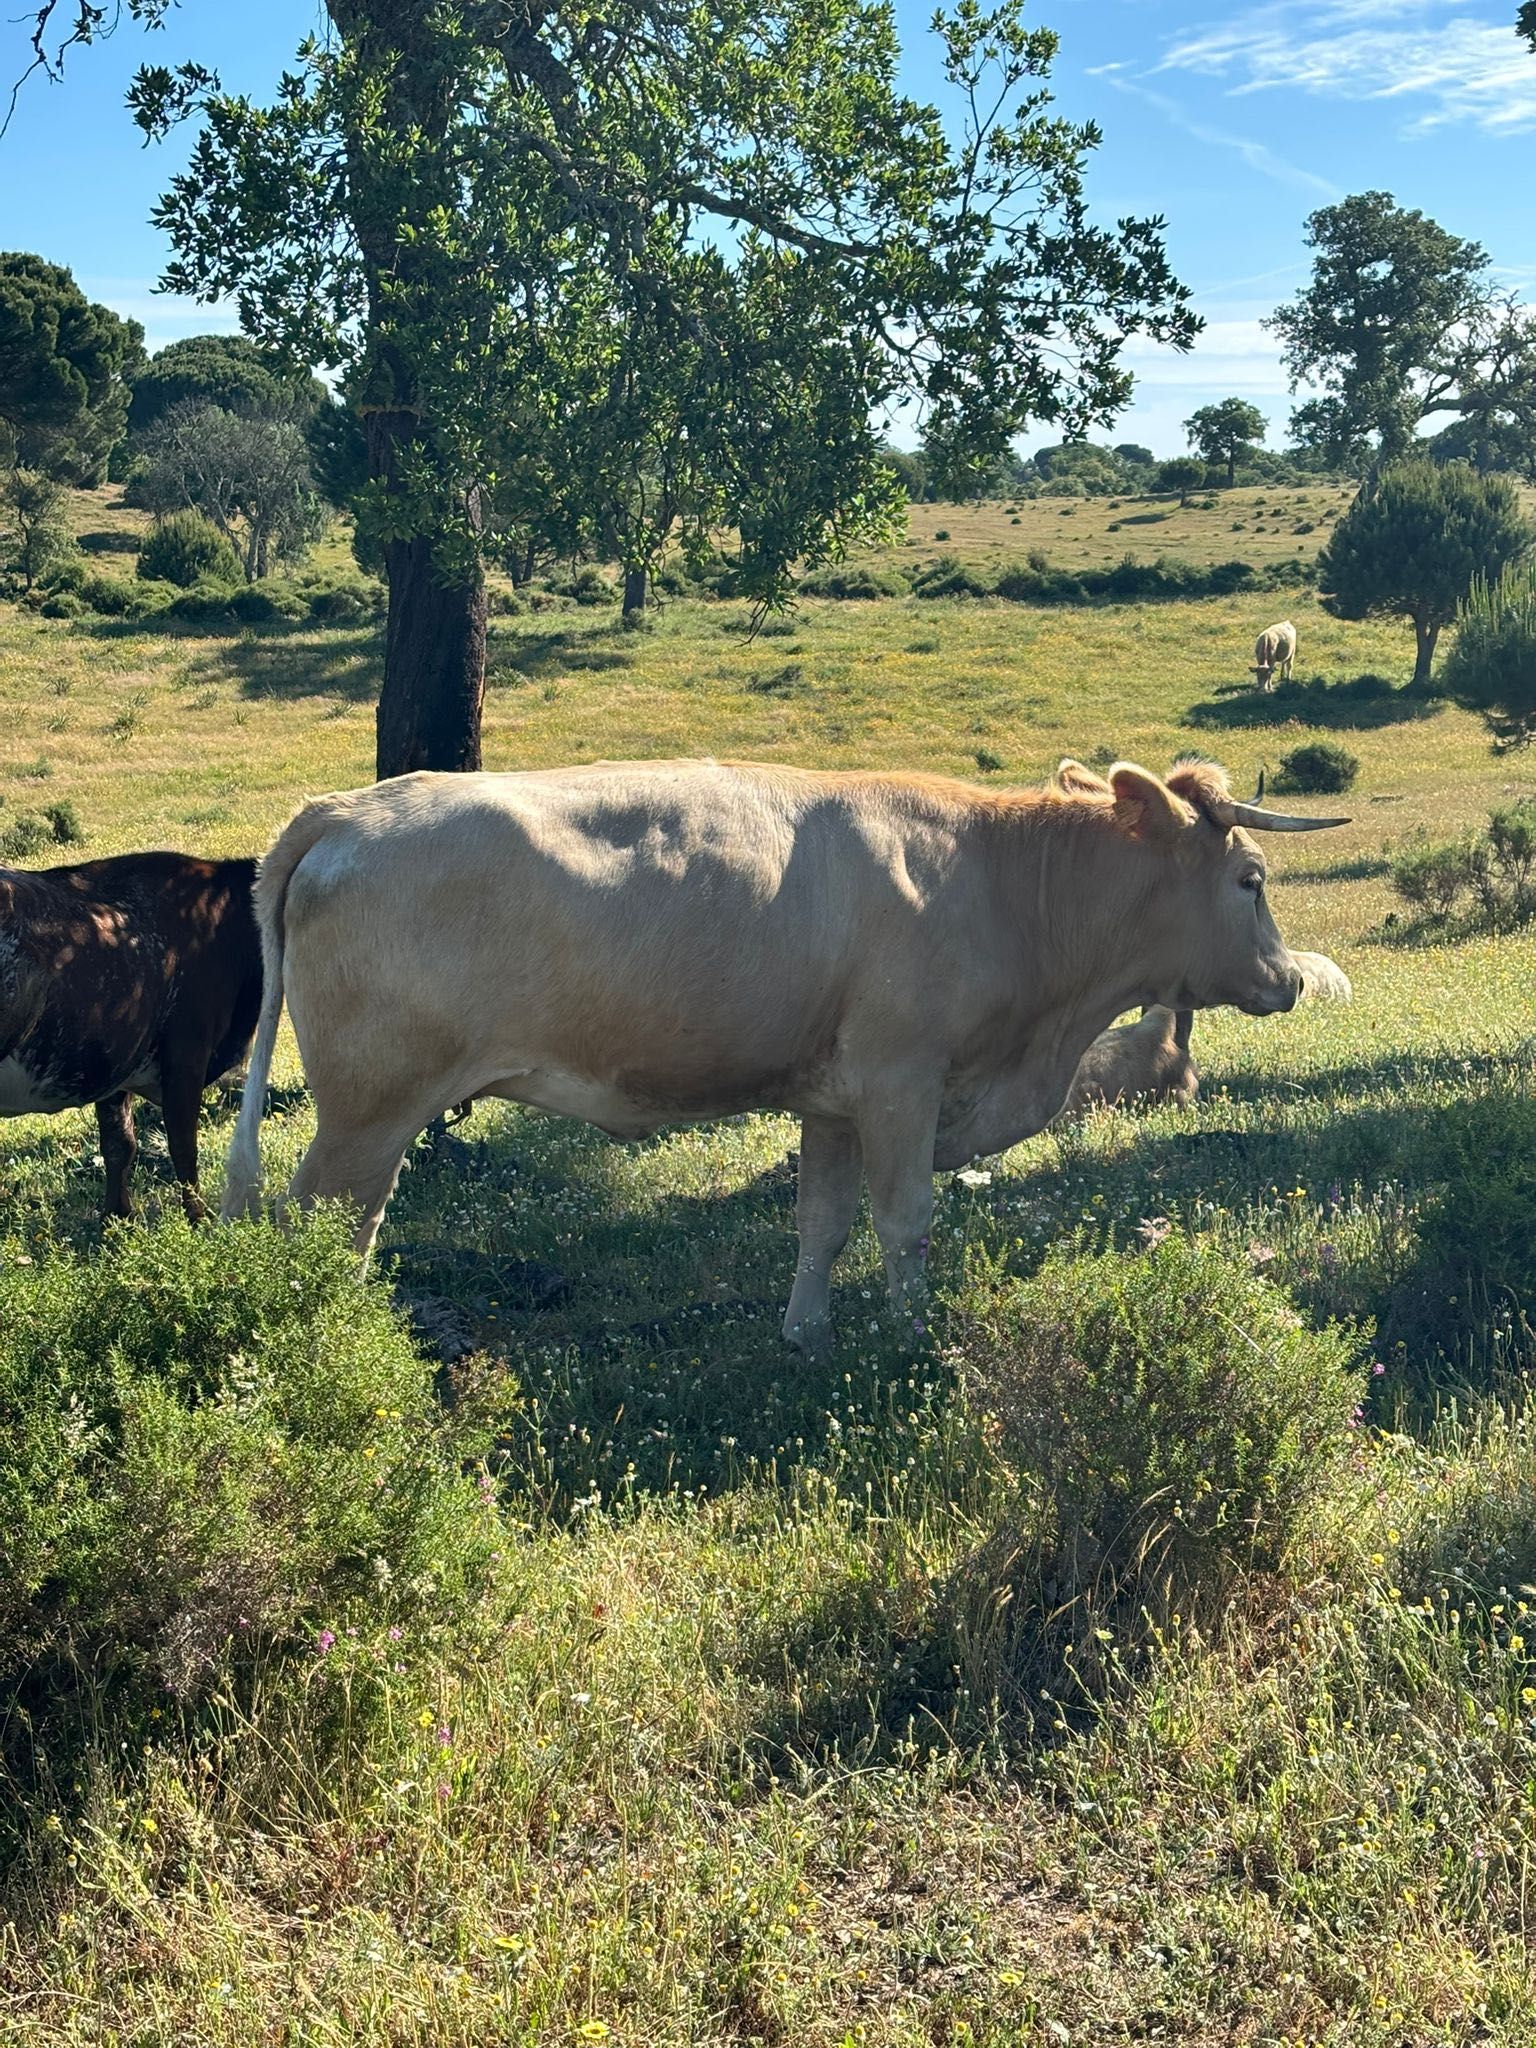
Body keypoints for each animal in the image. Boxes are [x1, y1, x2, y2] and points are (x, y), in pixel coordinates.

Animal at [0, 847, 262, 1212]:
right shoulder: (187, 1053)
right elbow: (183, 1145)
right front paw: (198, 1215)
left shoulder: (113, 1063)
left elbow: (119, 1145)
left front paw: (117, 1214)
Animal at [225, 753, 1343, 1343]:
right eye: (1250, 878)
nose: (1289, 980)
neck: (997, 883)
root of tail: (351, 808)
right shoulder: (901, 1084)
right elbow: (904, 1220)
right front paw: (910, 1336)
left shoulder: (832, 1100)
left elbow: (822, 1223)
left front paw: (805, 1335)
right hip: (367, 1115)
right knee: (326, 1228)